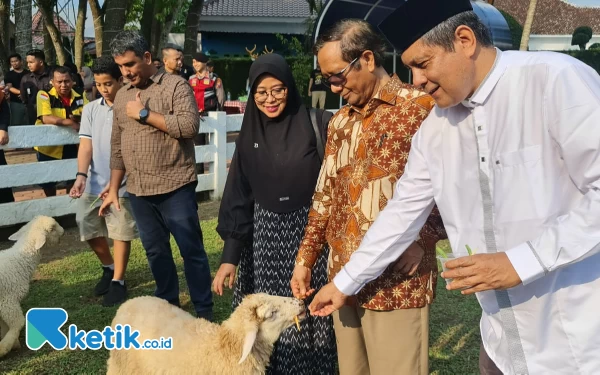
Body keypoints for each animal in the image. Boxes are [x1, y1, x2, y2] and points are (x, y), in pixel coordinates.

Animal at [0, 214, 64, 358]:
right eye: (52, 228)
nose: (63, 232)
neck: (20, 261)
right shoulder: (8, 300)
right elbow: (18, 322)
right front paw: (4, 347)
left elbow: (4, 327)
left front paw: (12, 344)